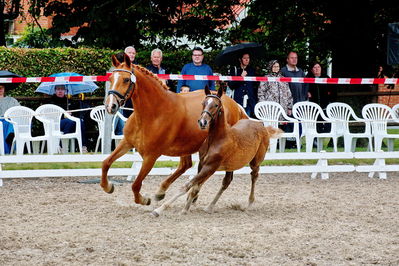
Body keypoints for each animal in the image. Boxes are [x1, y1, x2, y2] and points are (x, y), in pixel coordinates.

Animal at [101, 54, 248, 206]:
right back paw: (165, 192)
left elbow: (136, 185)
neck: (152, 113)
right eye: (111, 79)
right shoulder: (127, 142)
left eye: (126, 79)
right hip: (187, 146)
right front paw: (108, 187)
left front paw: (144, 200)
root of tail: (235, 105)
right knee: (186, 165)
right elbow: (105, 163)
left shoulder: (151, 156)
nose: (110, 106)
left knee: (218, 176)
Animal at [152, 87, 282, 216]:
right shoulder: (202, 165)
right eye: (203, 103)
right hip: (231, 166)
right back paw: (210, 207)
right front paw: (185, 209)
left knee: (254, 176)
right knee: (226, 181)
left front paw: (159, 209)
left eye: (215, 105)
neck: (216, 139)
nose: (202, 122)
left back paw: (249, 204)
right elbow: (195, 188)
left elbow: (186, 186)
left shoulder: (210, 166)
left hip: (255, 162)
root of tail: (261, 125)